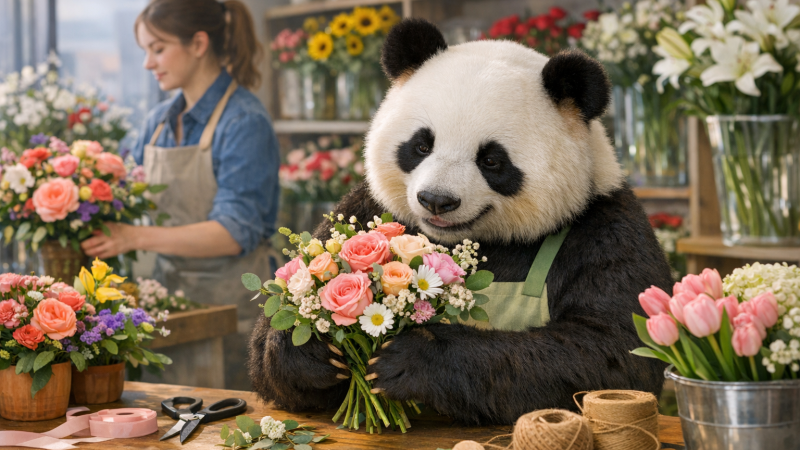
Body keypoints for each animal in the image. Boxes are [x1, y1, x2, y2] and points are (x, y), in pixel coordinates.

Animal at [249, 18, 672, 426]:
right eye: (421, 145)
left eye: (491, 160)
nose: (436, 200)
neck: (482, 240)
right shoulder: (367, 206)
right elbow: (270, 333)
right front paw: (317, 349)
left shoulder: (603, 224)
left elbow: (611, 349)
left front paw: (412, 359)